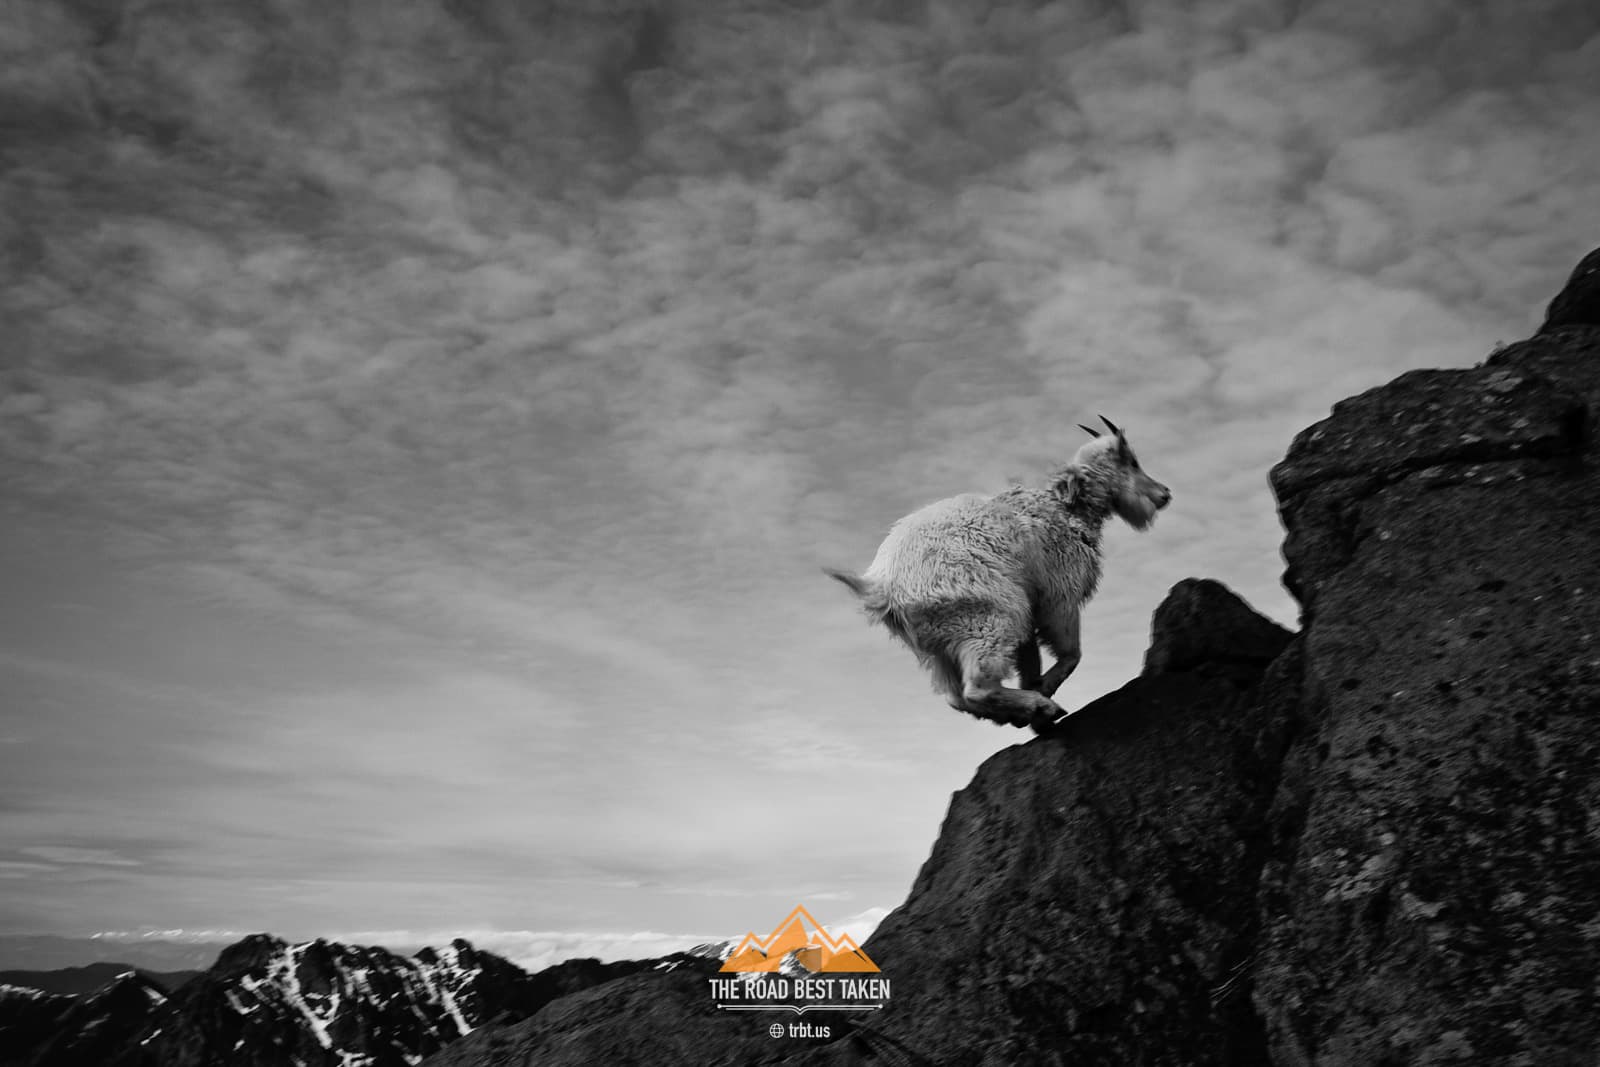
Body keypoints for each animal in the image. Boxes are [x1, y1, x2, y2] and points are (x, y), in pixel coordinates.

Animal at [825, 416, 1171, 732]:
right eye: (1132, 461)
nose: (1164, 494)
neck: (1067, 507)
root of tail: (879, 589)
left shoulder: (1031, 613)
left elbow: (1031, 660)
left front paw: (1037, 696)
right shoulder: (1058, 594)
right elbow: (1072, 653)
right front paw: (1045, 689)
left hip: (938, 648)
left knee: (955, 696)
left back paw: (1021, 714)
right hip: (989, 616)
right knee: (976, 687)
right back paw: (1040, 706)